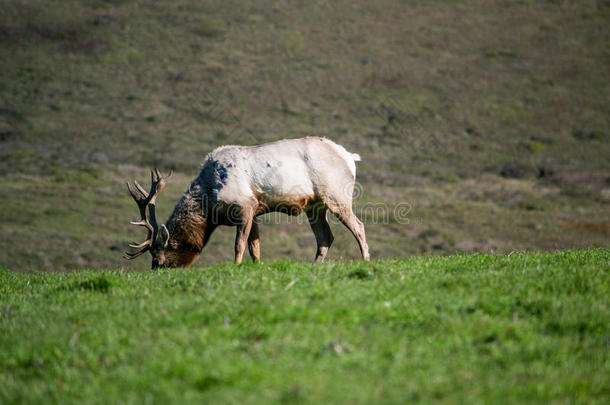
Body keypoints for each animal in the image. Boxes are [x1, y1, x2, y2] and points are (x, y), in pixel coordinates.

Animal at [123, 137, 368, 268]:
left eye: (158, 259)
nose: (156, 271)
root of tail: (350, 157)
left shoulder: (244, 205)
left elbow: (239, 245)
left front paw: (236, 267)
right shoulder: (255, 212)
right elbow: (255, 247)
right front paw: (255, 267)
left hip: (336, 195)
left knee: (359, 226)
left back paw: (366, 260)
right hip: (315, 207)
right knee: (325, 237)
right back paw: (315, 266)